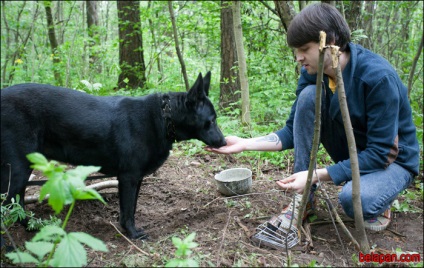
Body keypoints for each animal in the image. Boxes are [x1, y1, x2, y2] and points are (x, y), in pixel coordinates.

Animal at [1, 71, 227, 239]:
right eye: (212, 120)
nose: (224, 142)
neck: (164, 118)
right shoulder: (128, 177)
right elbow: (127, 211)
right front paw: (133, 234)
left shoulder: (135, 178)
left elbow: (130, 209)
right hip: (18, 171)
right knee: (10, 205)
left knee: (17, 206)